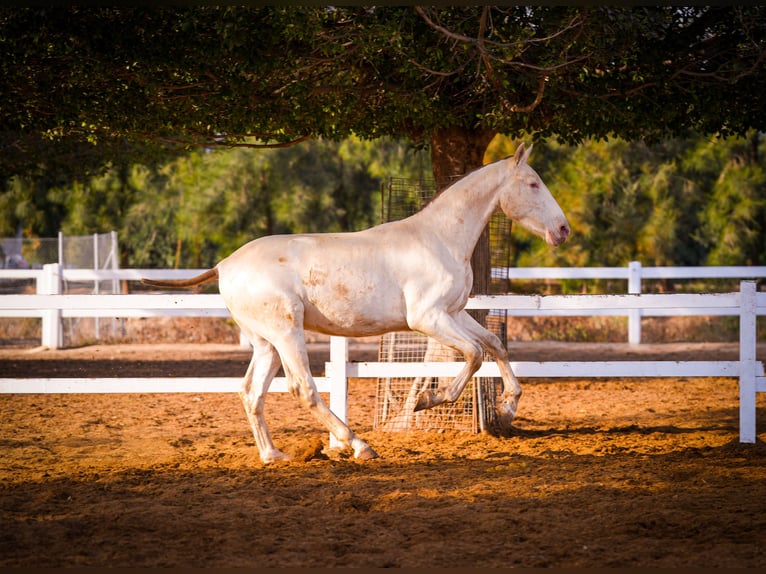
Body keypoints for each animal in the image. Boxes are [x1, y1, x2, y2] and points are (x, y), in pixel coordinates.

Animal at [144, 144, 572, 464]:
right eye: (533, 183)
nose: (563, 229)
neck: (439, 238)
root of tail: (224, 265)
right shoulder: (427, 318)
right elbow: (473, 355)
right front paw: (426, 400)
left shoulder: (453, 313)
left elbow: (494, 345)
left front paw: (508, 408)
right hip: (287, 333)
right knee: (304, 389)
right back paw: (359, 445)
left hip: (266, 343)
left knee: (252, 393)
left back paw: (274, 455)